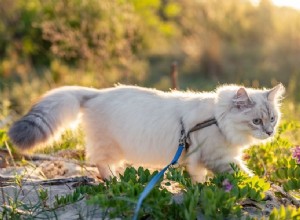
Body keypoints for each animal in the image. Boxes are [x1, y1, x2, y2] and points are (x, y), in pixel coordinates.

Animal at [7, 83, 284, 181]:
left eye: (272, 119)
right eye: (256, 121)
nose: (270, 132)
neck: (216, 119)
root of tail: (96, 93)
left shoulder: (198, 160)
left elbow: (198, 179)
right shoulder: (219, 157)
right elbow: (245, 175)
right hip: (109, 146)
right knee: (99, 163)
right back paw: (113, 181)